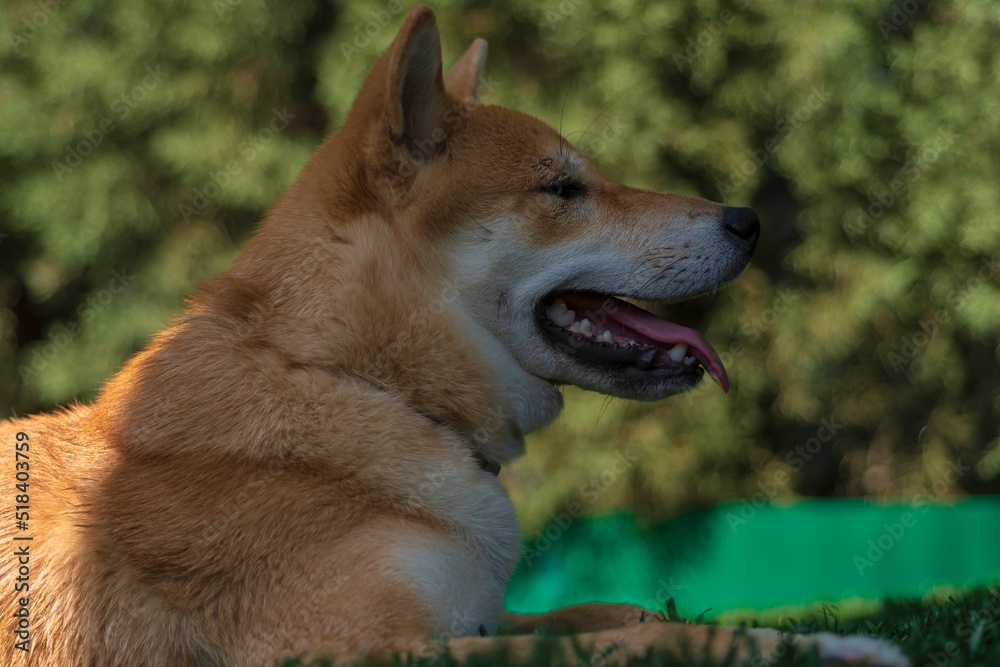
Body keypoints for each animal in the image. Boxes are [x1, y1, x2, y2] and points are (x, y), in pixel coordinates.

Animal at [0, 6, 912, 667]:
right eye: (562, 188)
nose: (748, 221)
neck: (366, 385)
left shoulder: (475, 614)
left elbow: (621, 610)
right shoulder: (351, 649)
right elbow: (633, 636)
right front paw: (833, 645)